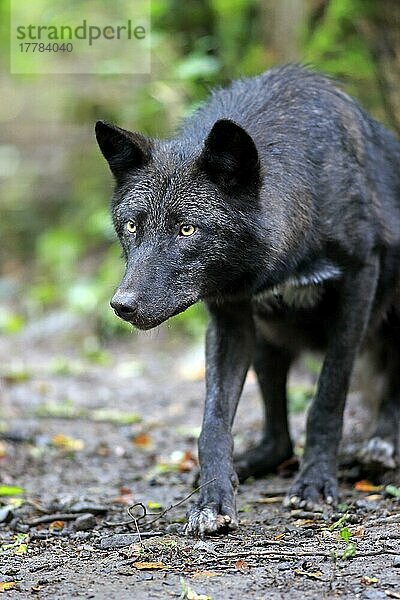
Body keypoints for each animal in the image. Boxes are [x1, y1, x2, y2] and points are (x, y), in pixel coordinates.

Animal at [96, 64, 400, 536]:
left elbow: (327, 397)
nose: (121, 305)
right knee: (279, 439)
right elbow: (213, 423)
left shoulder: (359, 281)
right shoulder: (230, 318)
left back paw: (382, 444)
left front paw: (315, 484)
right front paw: (212, 500)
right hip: (266, 341)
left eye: (187, 229)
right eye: (131, 227)